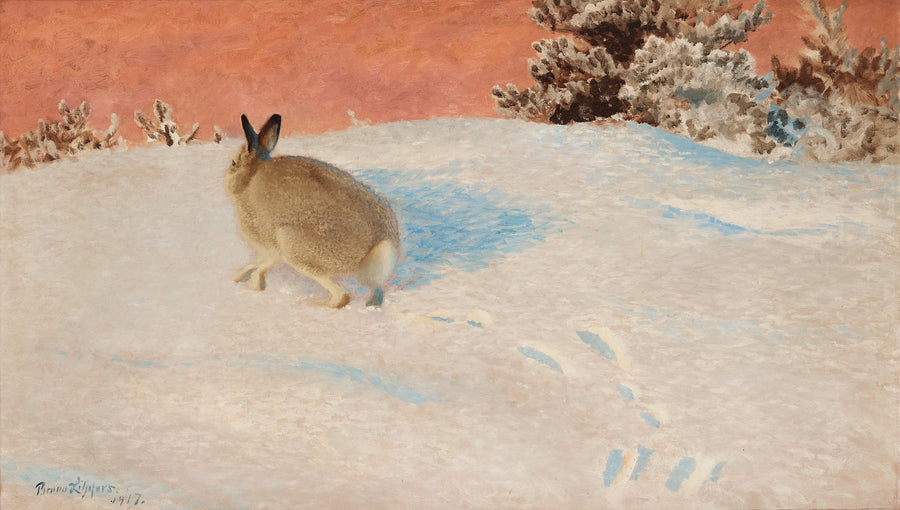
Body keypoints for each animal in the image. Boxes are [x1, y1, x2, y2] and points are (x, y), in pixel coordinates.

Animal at [224, 113, 400, 308]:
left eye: (233, 162)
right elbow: (256, 263)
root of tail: (376, 246)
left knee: (342, 297)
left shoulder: (270, 242)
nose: (225, 179)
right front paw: (238, 277)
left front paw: (251, 285)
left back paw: (314, 303)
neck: (248, 179)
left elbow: (264, 263)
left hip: (293, 244)